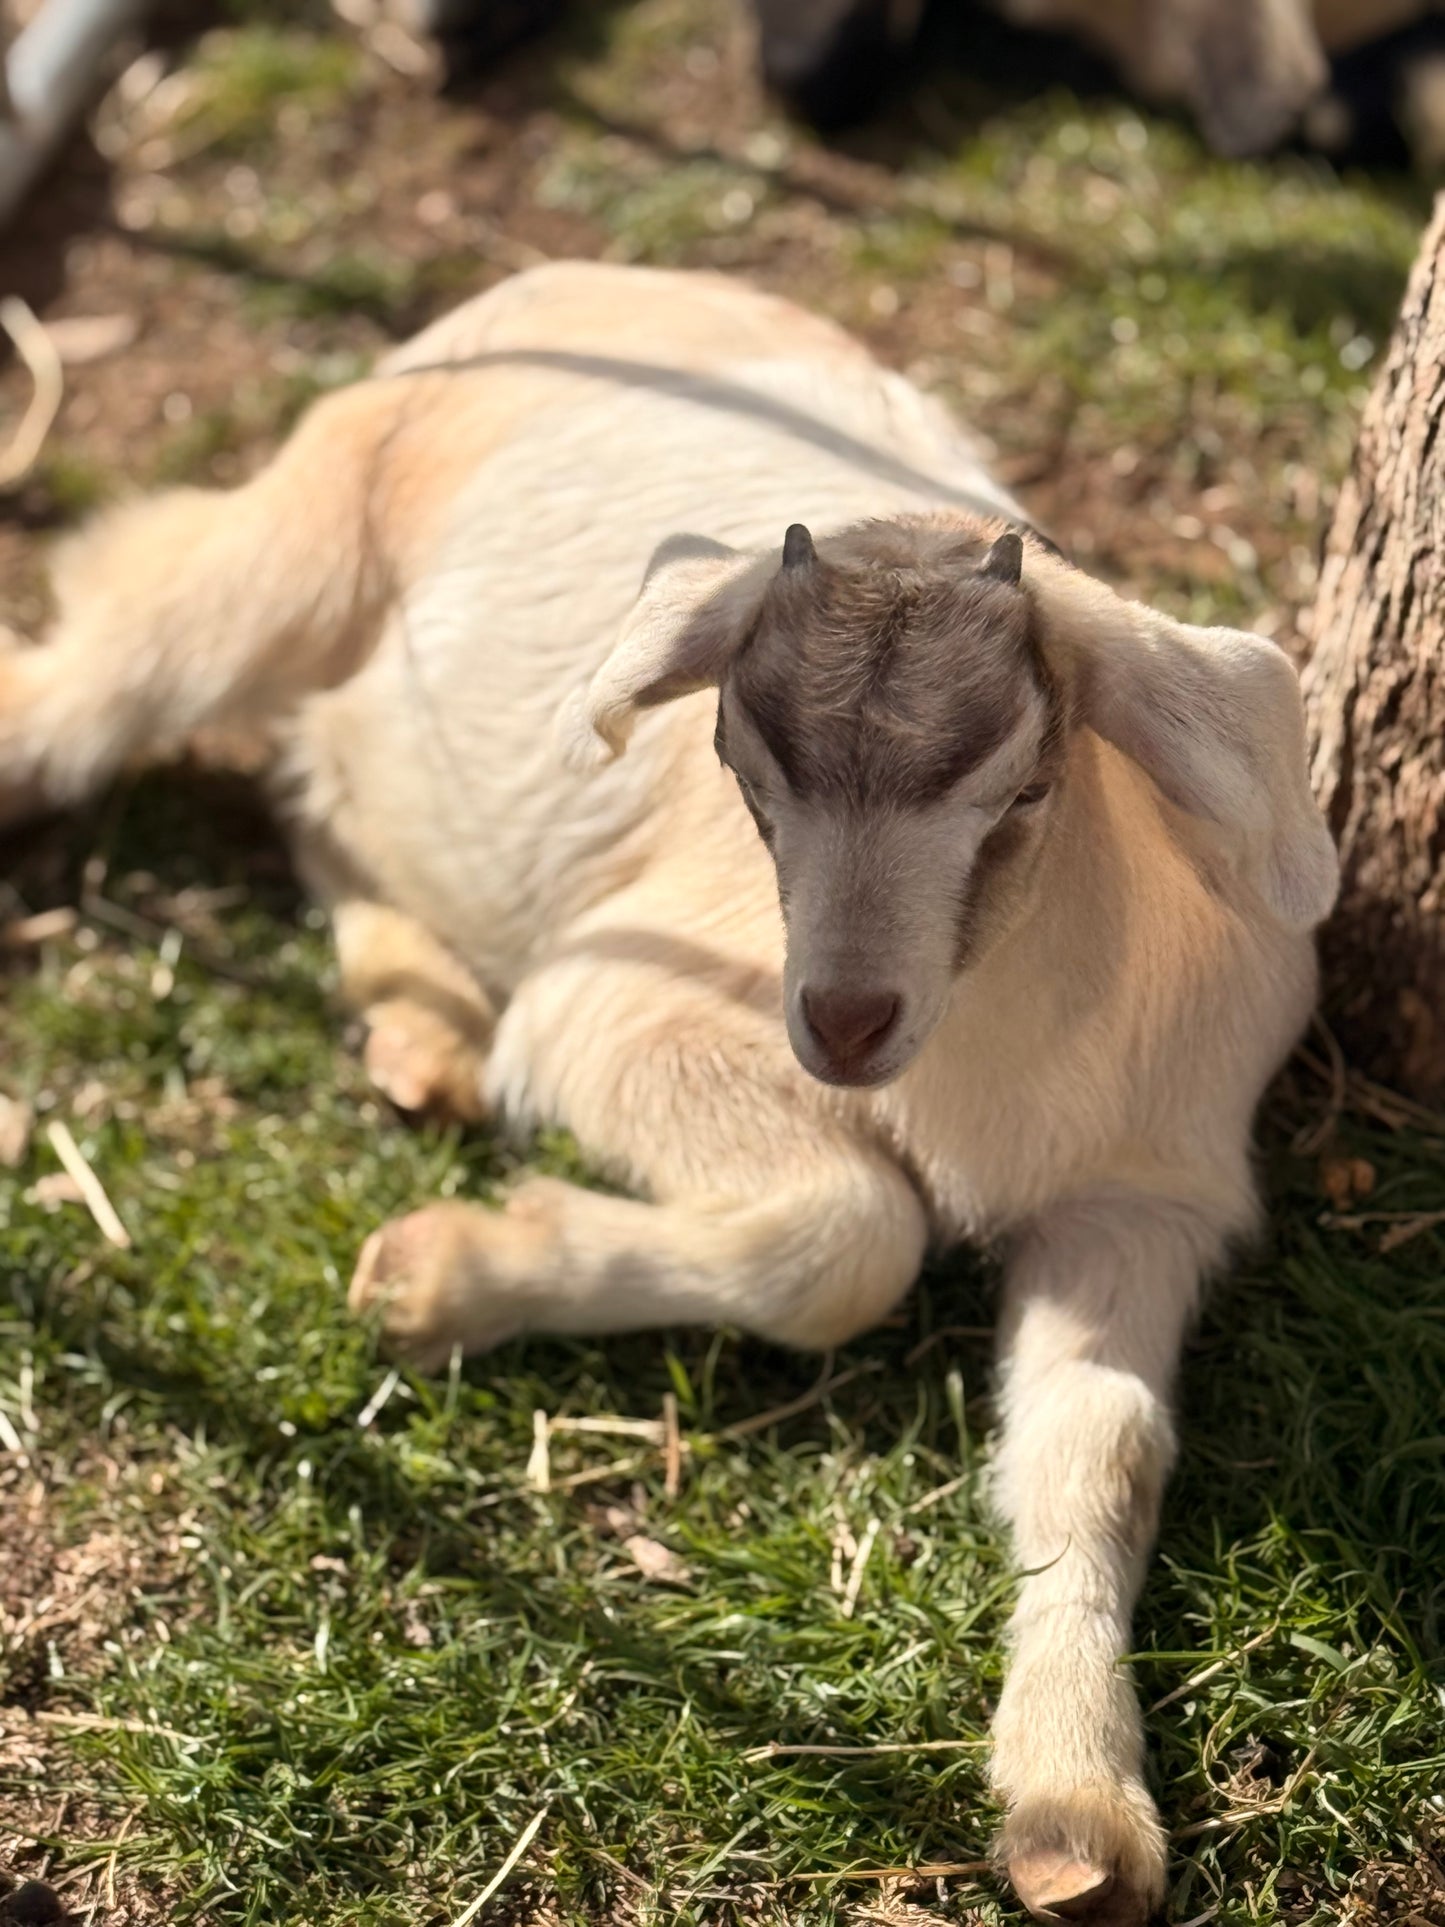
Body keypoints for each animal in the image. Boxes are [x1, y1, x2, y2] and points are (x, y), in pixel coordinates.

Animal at [0, 260, 1338, 1926]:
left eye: (1022, 785)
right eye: (743, 765)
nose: (843, 1017)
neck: (984, 1047)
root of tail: (589, 274)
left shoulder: (1143, 1190)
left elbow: (1099, 1453)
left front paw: (1073, 1811)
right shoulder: (617, 1006)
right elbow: (849, 1237)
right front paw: (444, 1269)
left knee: (313, 784)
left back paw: (419, 1027)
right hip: (281, 554)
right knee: (117, 667)